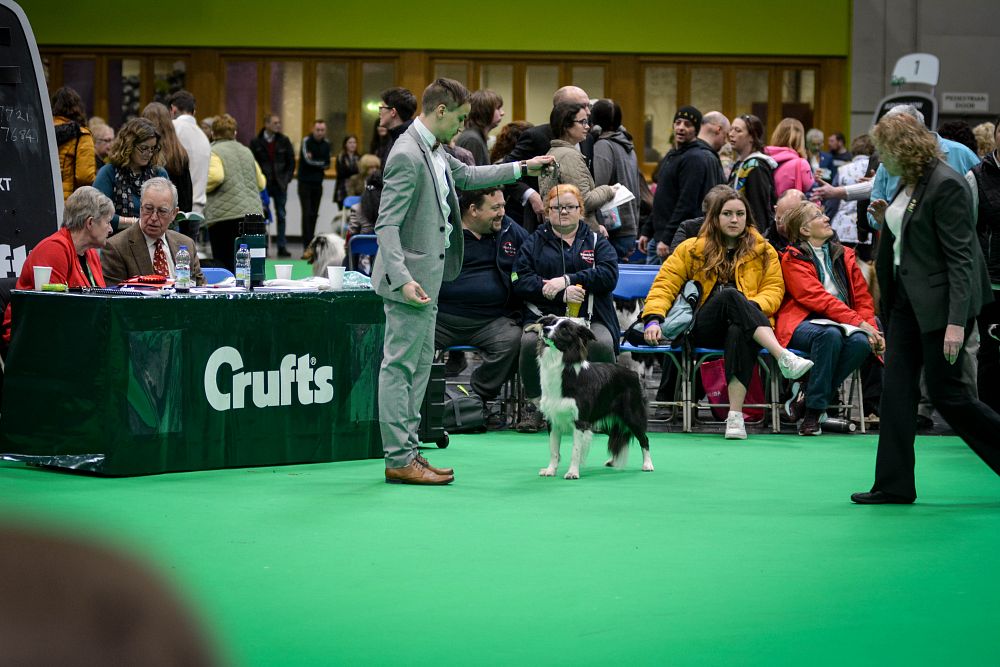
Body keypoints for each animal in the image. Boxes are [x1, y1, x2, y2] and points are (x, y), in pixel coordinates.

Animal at [536, 314, 652, 480]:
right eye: (551, 323)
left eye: (565, 329)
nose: (545, 329)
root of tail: (633, 374)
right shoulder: (553, 419)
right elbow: (553, 449)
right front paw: (550, 470)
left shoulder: (580, 421)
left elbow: (575, 451)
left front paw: (572, 472)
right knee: (616, 436)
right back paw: (612, 461)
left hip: (632, 414)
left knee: (644, 438)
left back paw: (648, 465)